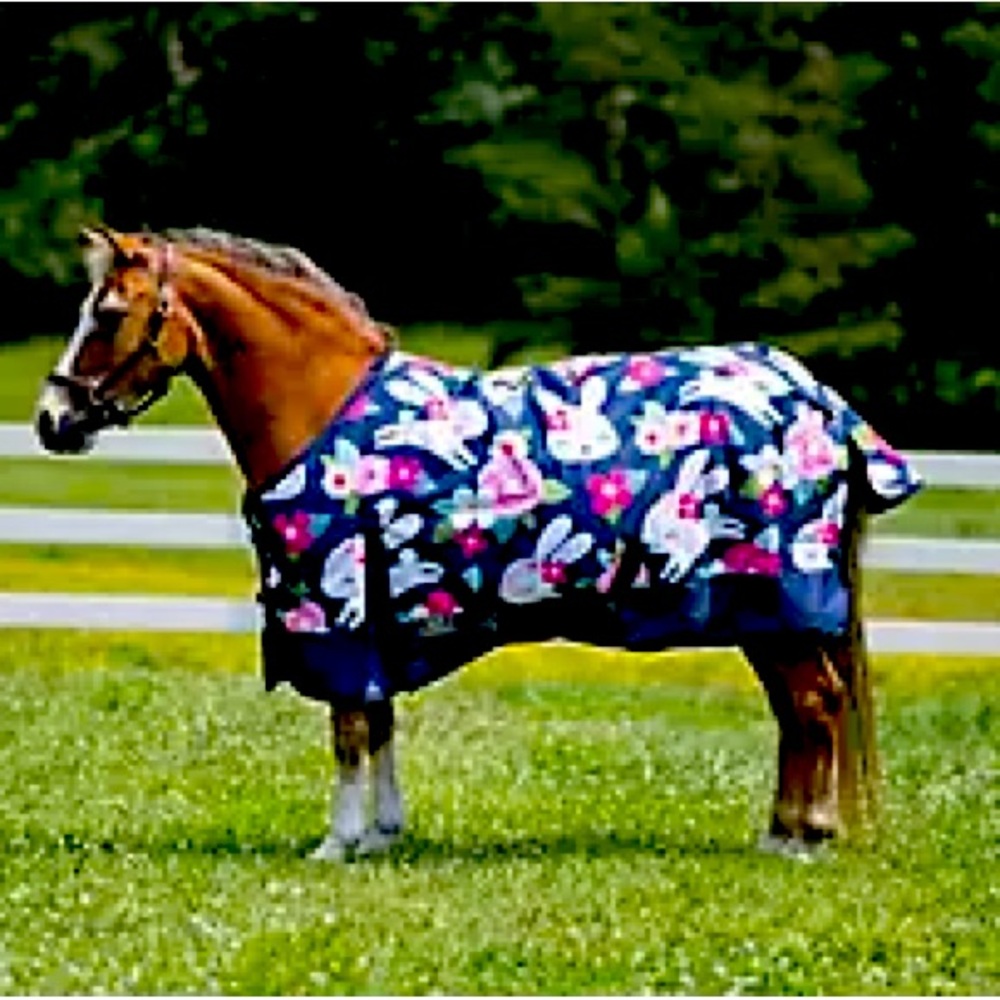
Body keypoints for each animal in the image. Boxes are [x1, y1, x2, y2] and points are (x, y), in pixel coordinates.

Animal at [35, 225, 920, 860]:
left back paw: (804, 841)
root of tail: (813, 395)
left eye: (107, 315)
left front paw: (337, 843)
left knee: (814, 704)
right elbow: (378, 719)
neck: (321, 403)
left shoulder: (338, 611)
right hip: (767, 616)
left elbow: (348, 729)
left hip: (773, 598)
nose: (52, 421)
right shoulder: (379, 611)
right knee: (799, 712)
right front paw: (381, 836)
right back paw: (781, 833)